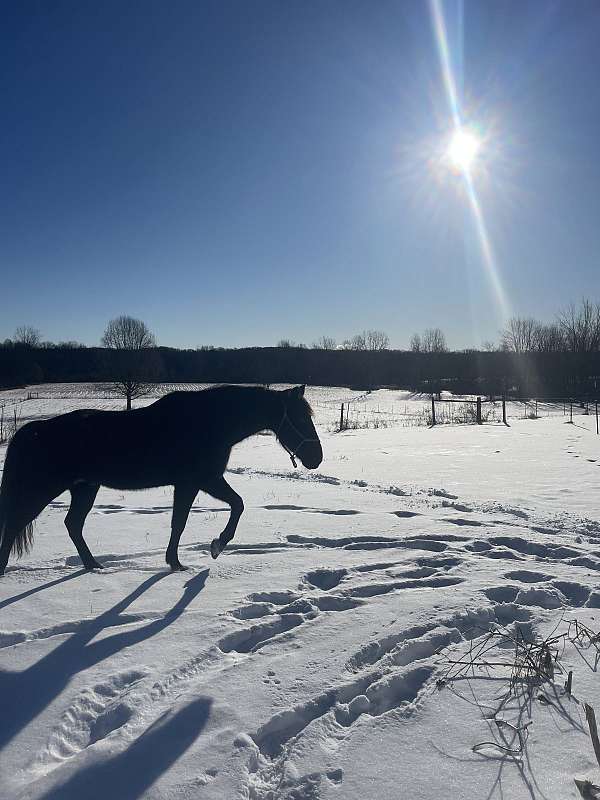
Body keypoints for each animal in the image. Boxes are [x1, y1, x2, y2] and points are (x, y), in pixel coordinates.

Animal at [0, 384, 324, 572]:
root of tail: (34, 430)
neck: (211, 422)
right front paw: (214, 546)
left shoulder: (192, 483)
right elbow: (230, 507)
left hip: (85, 488)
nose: (316, 458)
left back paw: (93, 565)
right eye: (299, 417)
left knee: (72, 525)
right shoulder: (202, 480)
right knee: (15, 525)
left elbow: (183, 520)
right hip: (42, 490)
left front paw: (178, 561)